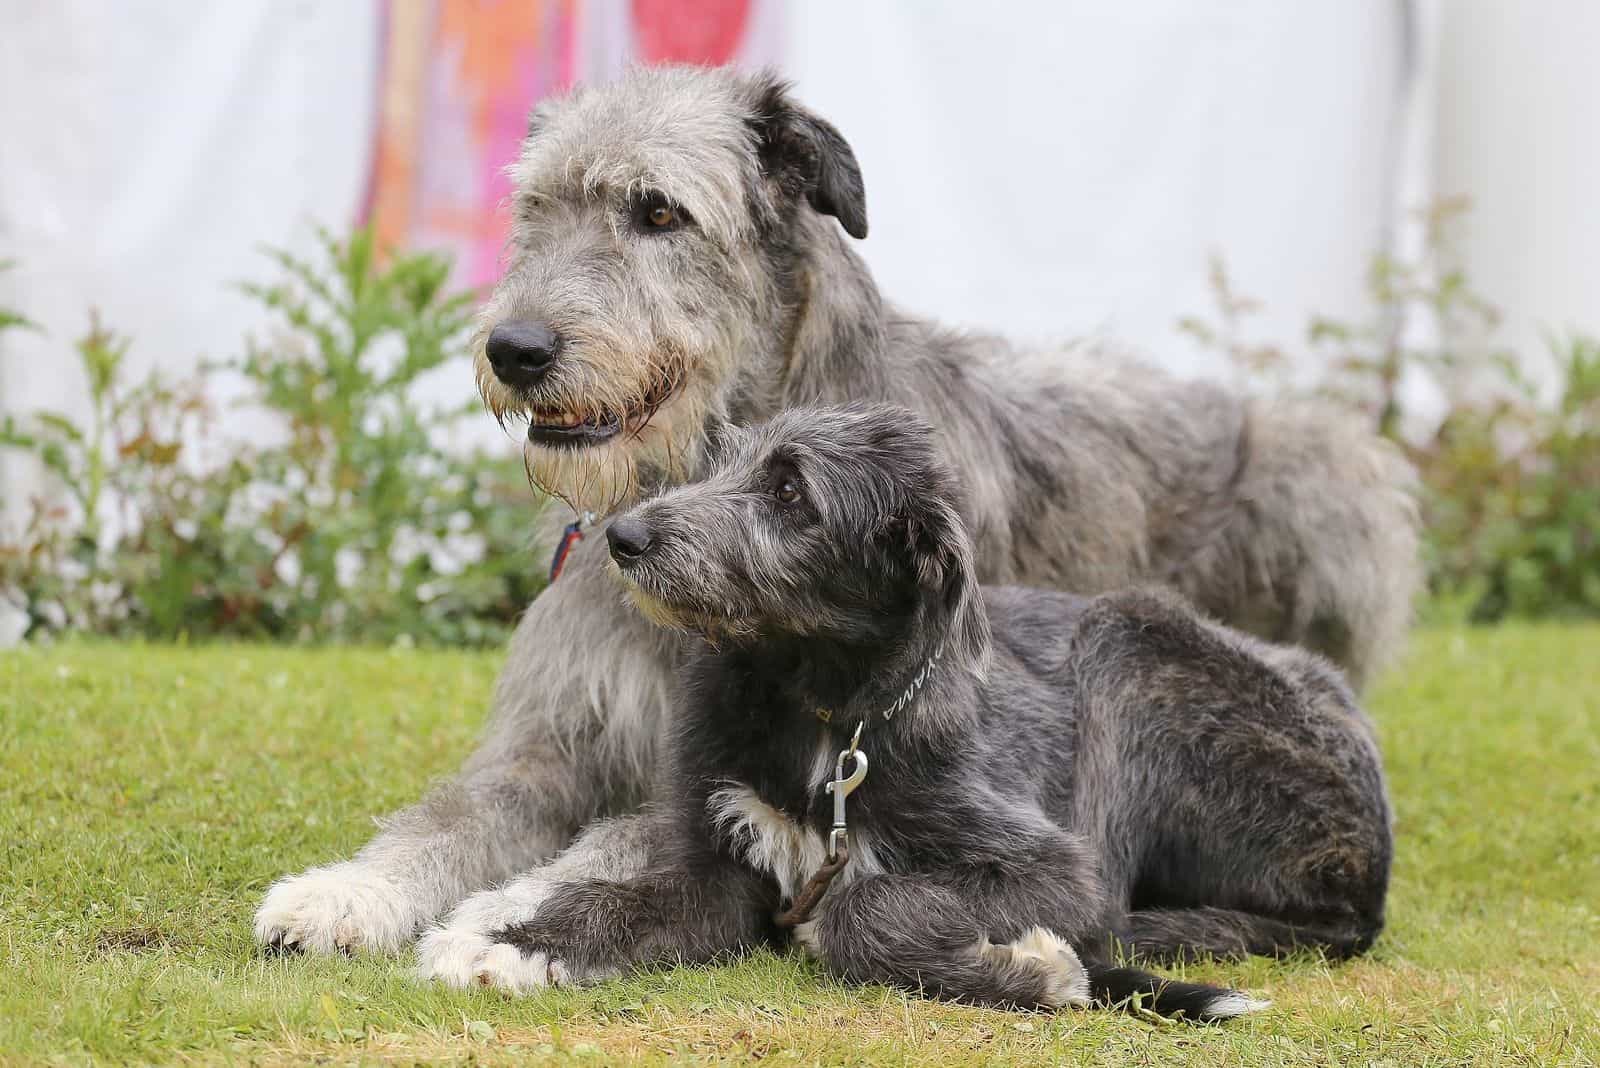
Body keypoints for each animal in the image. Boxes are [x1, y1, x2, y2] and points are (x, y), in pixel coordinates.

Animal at [406, 404, 1382, 1016]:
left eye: (790, 492)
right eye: (721, 464)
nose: (623, 537)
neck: (824, 709)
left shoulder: (1058, 870)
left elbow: (867, 906)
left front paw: (1037, 972)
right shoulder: (722, 861)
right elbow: (628, 898)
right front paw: (510, 942)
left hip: (1127, 638)